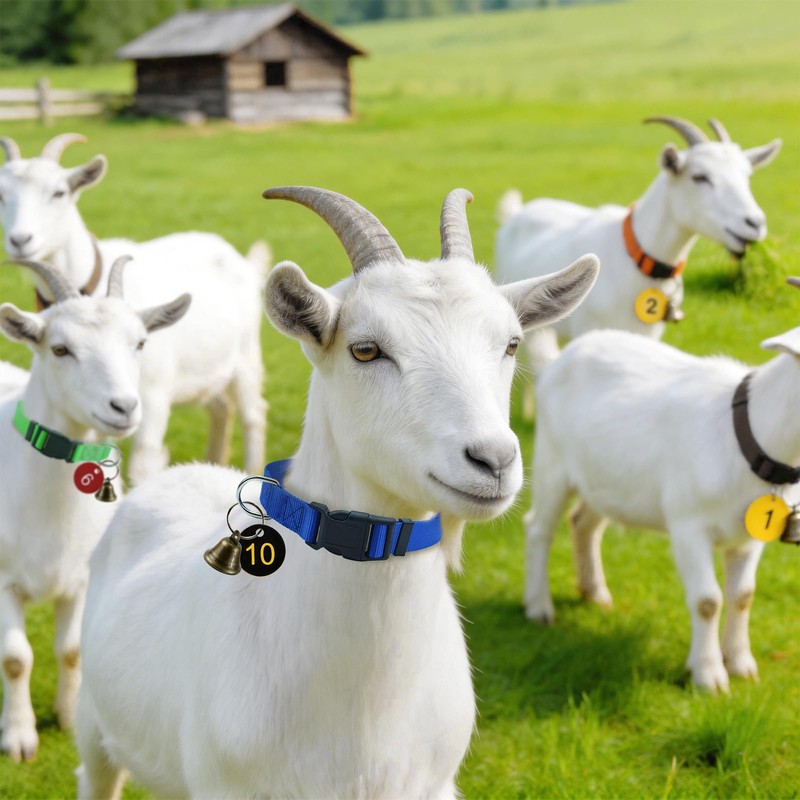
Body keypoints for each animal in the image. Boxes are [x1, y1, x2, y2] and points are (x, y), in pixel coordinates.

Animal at [0, 133, 269, 484]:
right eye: (1, 195)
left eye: (59, 192)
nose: (20, 241)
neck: (91, 279)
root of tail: (243, 261)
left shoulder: (152, 396)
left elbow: (144, 461)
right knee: (221, 407)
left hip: (247, 356)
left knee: (254, 414)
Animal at [0, 259, 189, 761]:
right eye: (60, 348)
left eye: (140, 343)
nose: (123, 406)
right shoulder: (1, 580)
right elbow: (16, 658)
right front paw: (19, 737)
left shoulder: (83, 576)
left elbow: (71, 650)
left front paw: (67, 718)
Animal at [75, 187, 599, 799]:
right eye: (366, 350)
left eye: (512, 343)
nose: (493, 460)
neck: (362, 714)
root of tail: (178, 473)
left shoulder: (434, 784)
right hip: (93, 724)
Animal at [524, 283, 800, 692]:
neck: (749, 433)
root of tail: (556, 362)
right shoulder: (688, 526)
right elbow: (707, 600)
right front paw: (709, 676)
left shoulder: (749, 537)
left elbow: (742, 596)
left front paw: (740, 664)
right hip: (553, 462)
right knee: (538, 529)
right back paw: (539, 607)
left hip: (607, 480)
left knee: (583, 524)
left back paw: (595, 592)